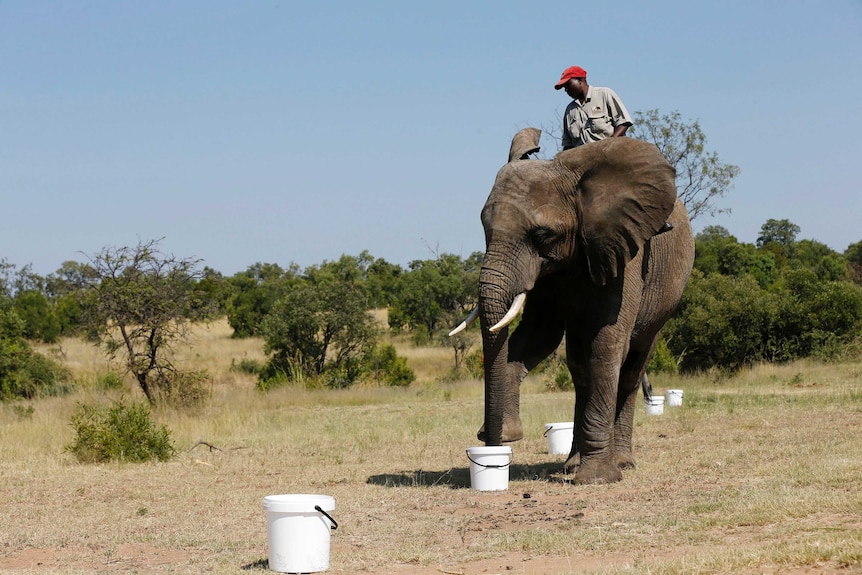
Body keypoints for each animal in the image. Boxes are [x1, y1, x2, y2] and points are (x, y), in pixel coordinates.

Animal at [452, 128, 696, 484]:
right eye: (485, 228)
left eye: (542, 234)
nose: (490, 443)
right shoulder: (544, 272)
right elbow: (536, 337)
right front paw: (508, 433)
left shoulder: (623, 252)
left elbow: (607, 343)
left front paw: (597, 479)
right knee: (580, 370)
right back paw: (571, 464)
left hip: (664, 301)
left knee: (630, 367)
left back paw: (621, 463)